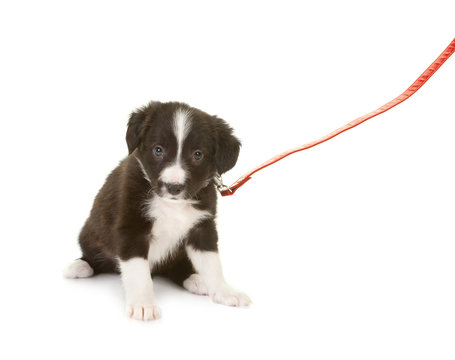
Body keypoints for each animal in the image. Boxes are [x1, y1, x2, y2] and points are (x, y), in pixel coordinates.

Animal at [64, 100, 251, 320]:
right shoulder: (132, 228)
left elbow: (212, 263)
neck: (171, 205)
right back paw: (80, 265)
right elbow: (138, 271)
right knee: (94, 257)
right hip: (89, 234)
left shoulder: (202, 227)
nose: (173, 187)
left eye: (198, 154)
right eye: (158, 150)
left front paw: (224, 291)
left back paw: (195, 279)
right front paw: (143, 304)